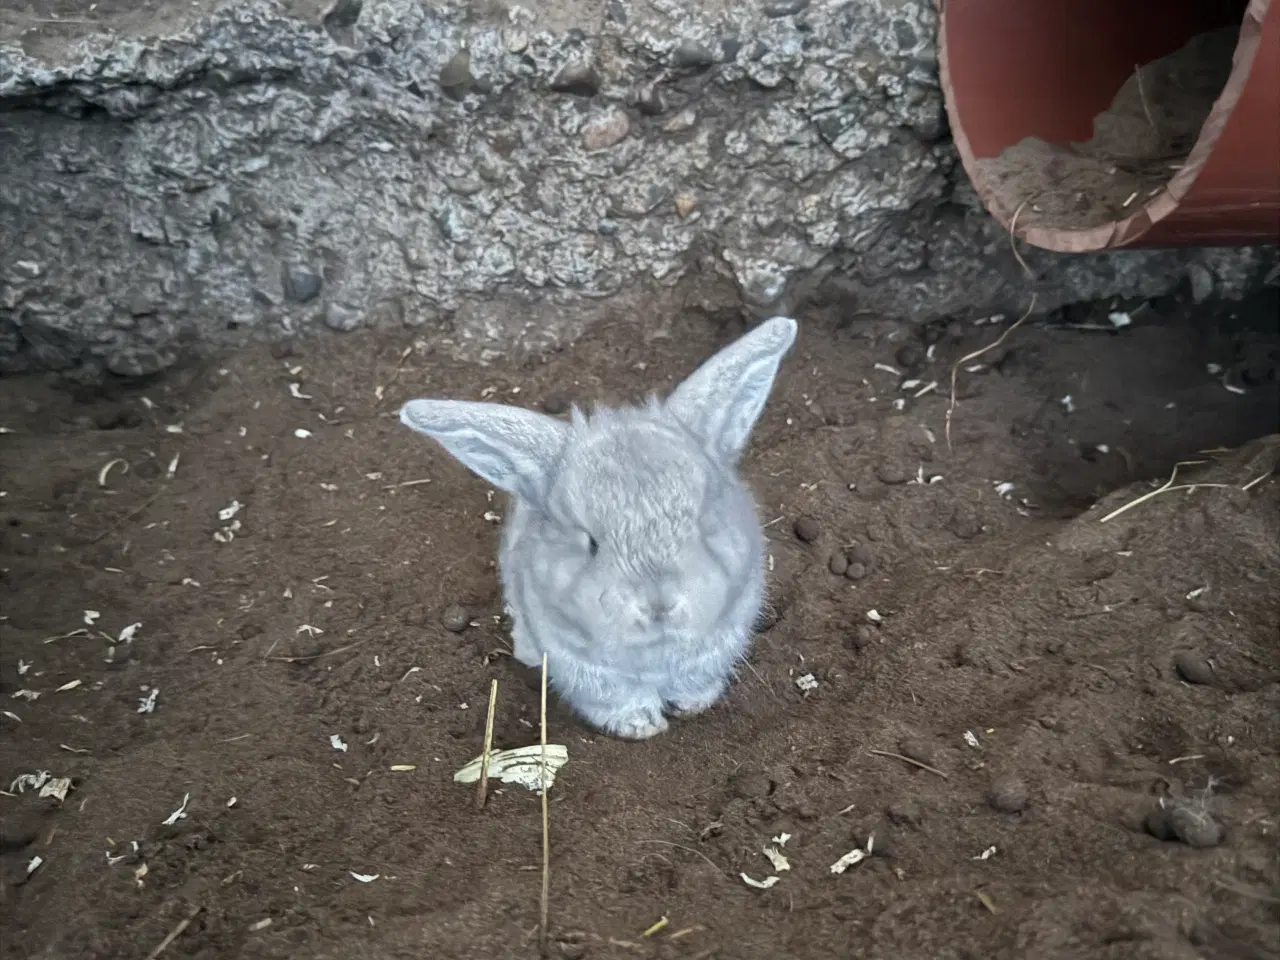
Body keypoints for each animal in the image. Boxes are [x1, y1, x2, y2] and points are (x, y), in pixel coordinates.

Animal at [401, 320, 798, 742]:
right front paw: (642, 727)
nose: (659, 605)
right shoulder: (589, 674)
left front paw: (692, 706)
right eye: (591, 543)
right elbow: (618, 702)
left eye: (703, 521)